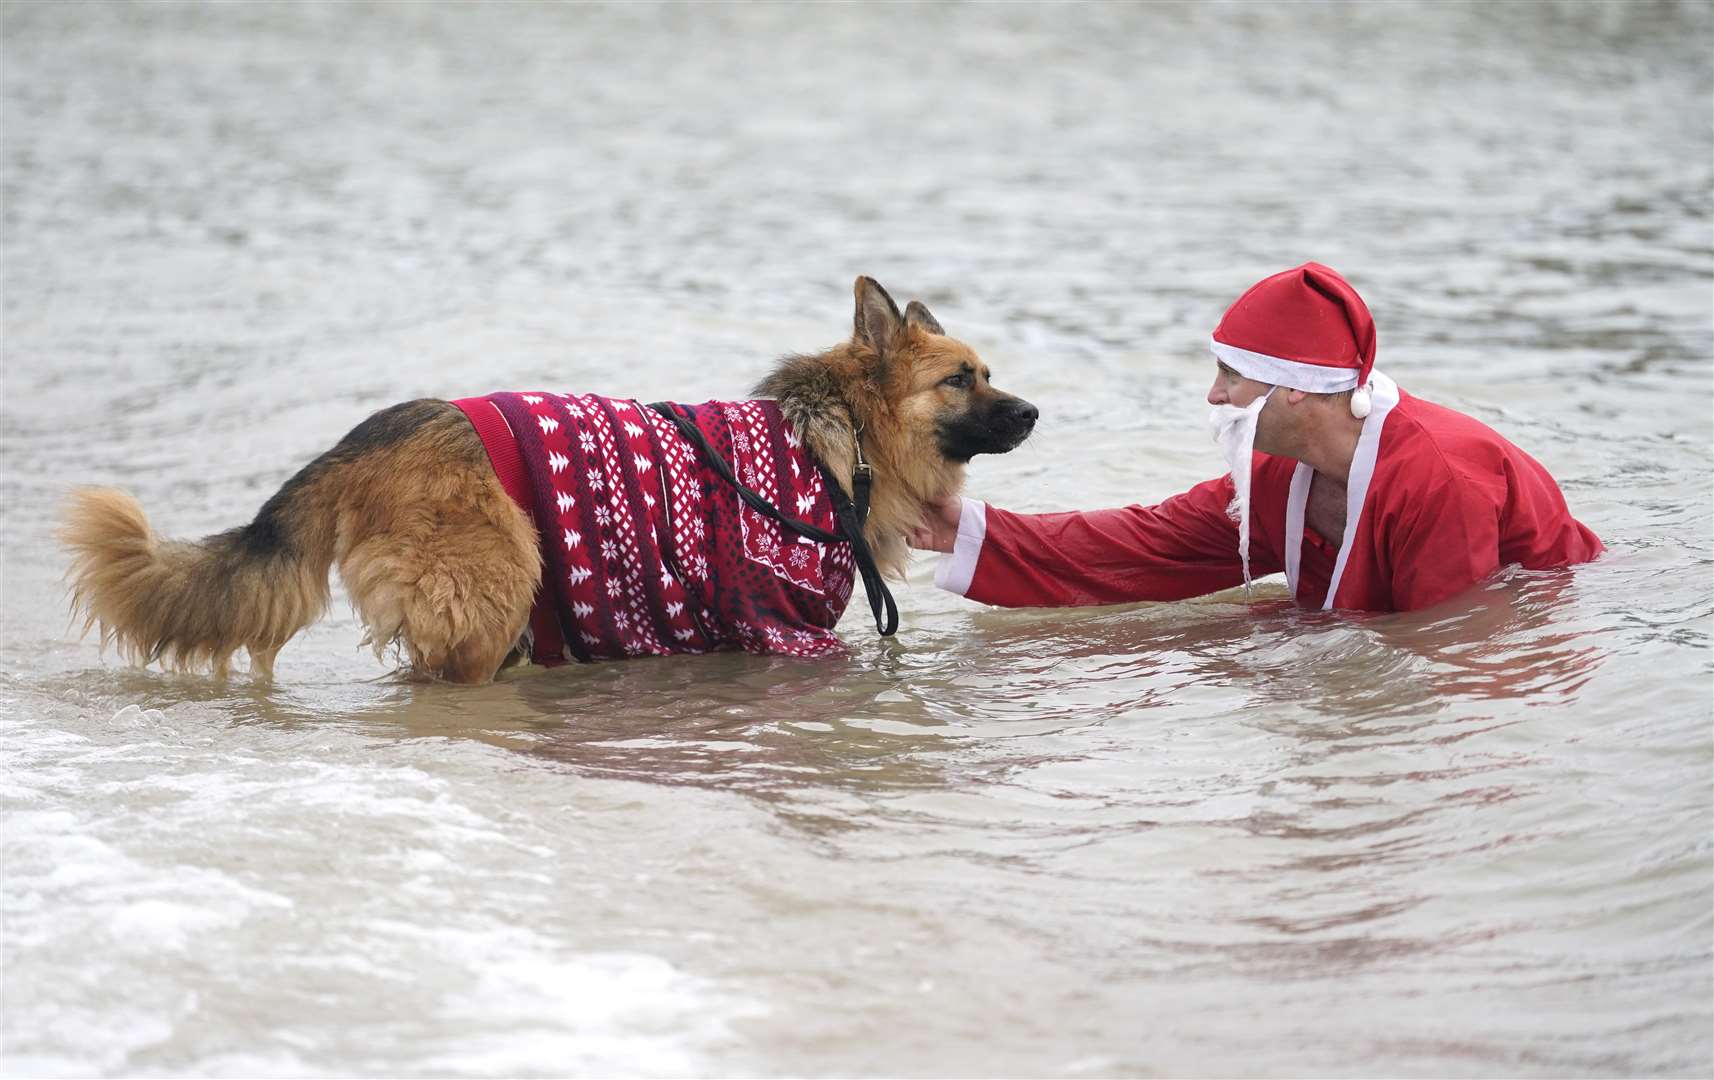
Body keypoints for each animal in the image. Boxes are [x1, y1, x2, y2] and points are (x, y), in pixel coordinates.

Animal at [60, 279, 1028, 685]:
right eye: (960, 380)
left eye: (988, 372)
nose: (1034, 412)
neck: (840, 446)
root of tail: (378, 433)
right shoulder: (782, 627)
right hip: (495, 593)